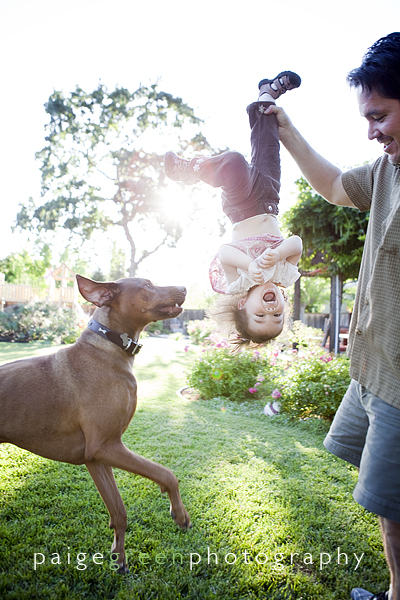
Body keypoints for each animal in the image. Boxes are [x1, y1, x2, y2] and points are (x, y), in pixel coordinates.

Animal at [0, 275, 191, 573]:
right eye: (147, 285)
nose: (184, 287)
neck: (109, 347)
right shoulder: (107, 447)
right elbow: (166, 474)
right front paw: (180, 515)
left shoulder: (97, 457)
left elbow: (119, 511)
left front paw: (119, 555)